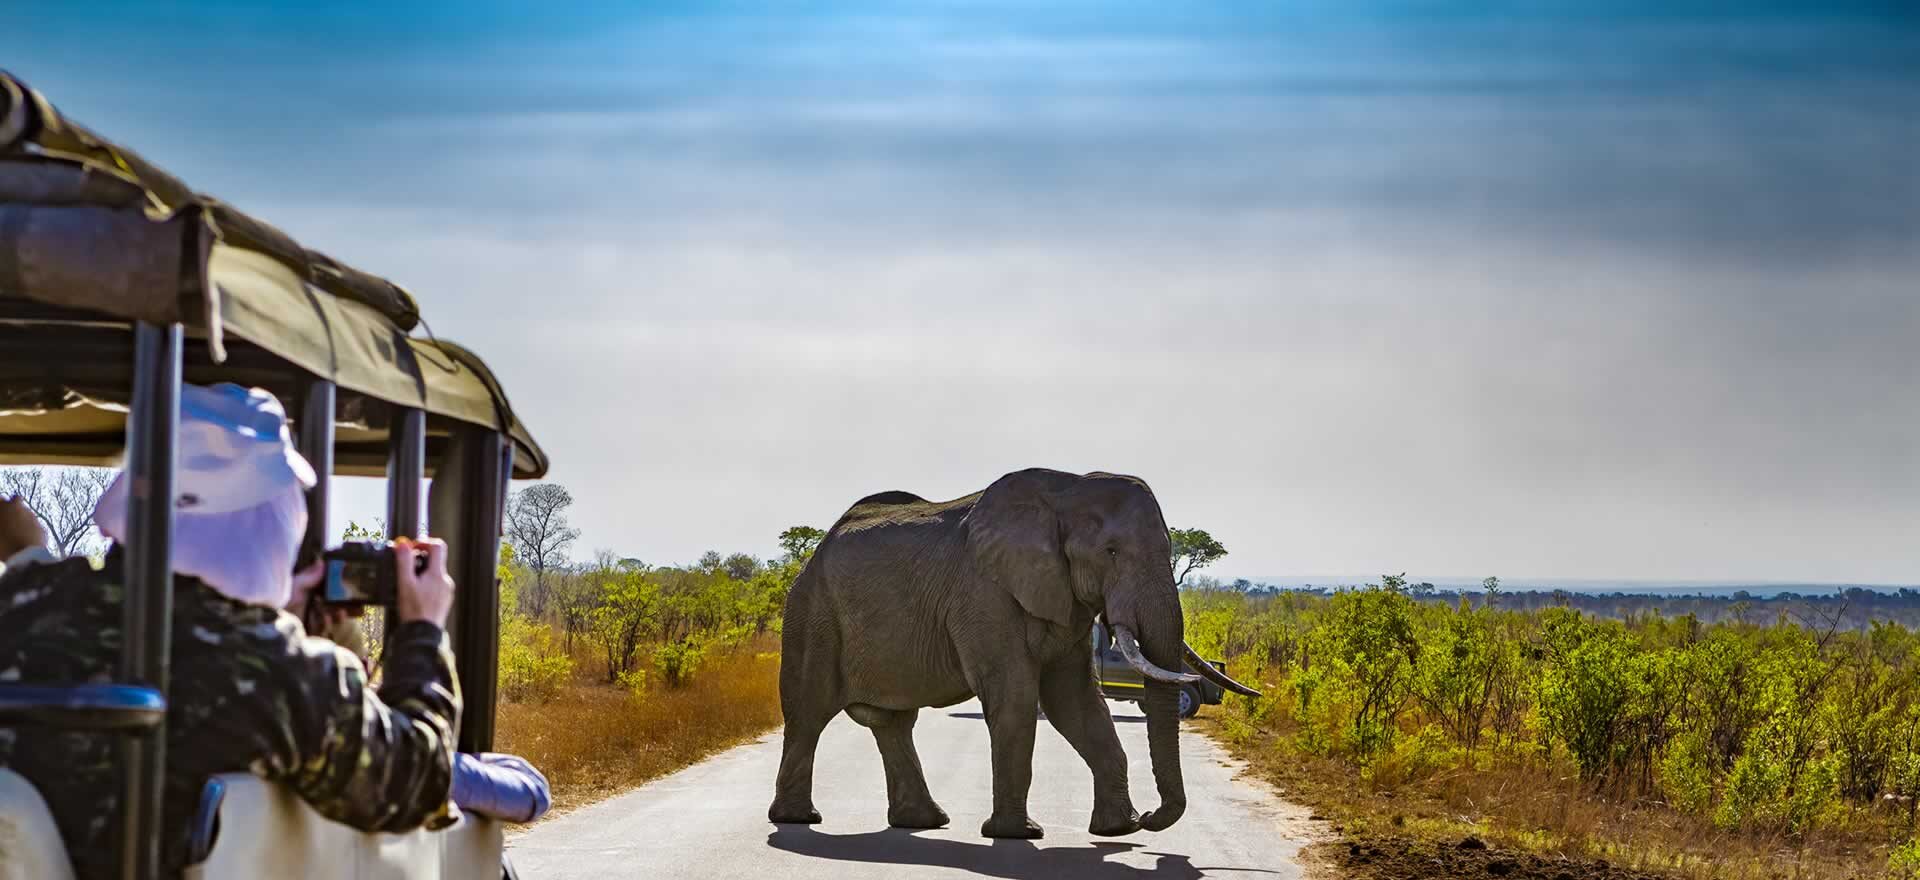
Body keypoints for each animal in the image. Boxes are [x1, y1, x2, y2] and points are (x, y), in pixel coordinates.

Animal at [767, 468, 1259, 839]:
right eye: (1111, 552)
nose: (1155, 819)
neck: (1067, 491)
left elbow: (1076, 702)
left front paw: (1118, 830)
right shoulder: (983, 594)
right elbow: (1016, 697)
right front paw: (1019, 835)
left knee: (892, 723)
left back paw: (925, 822)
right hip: (812, 613)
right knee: (809, 713)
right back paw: (798, 819)